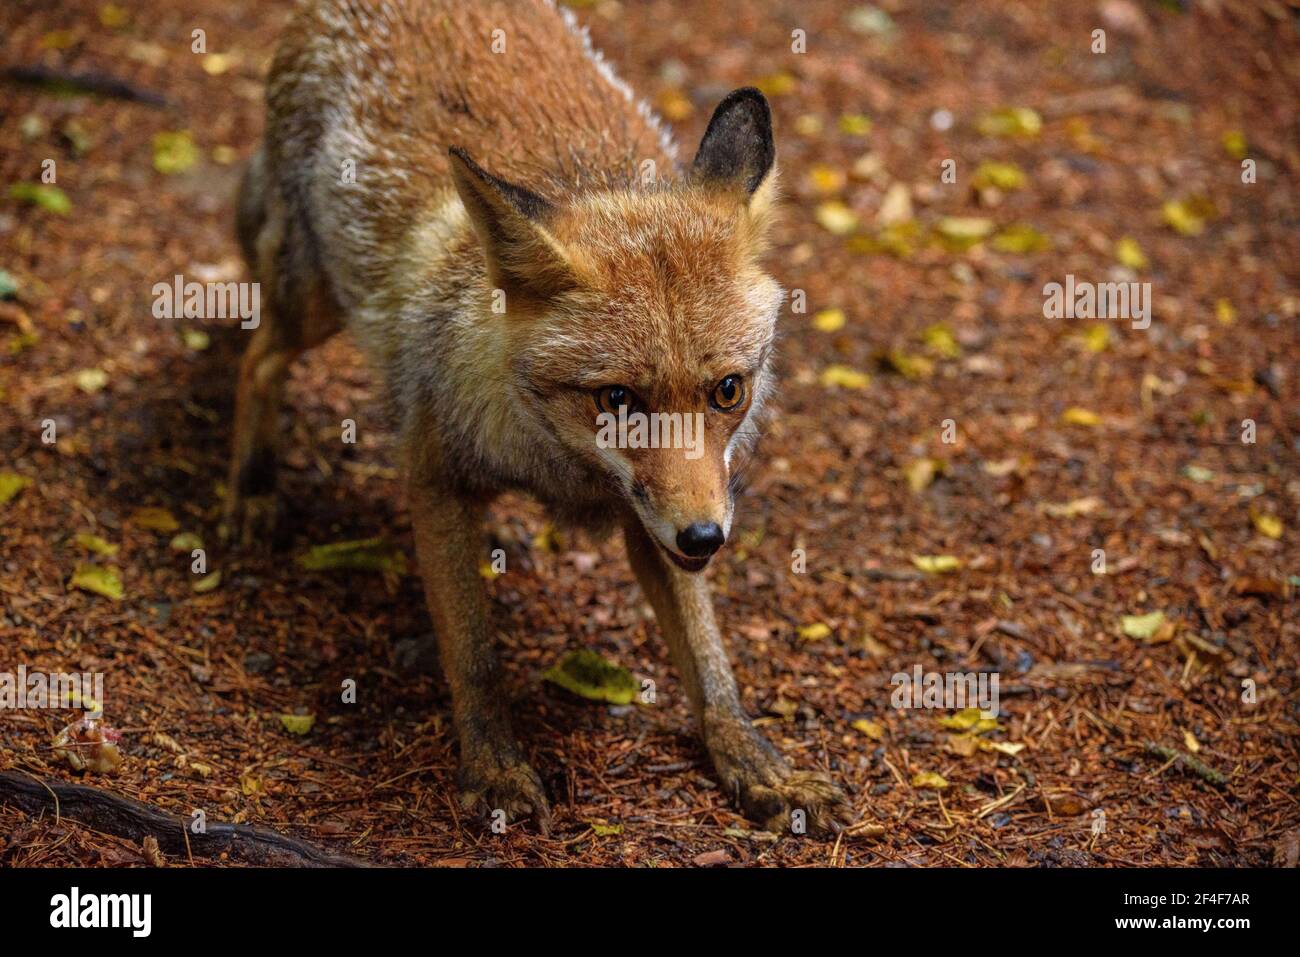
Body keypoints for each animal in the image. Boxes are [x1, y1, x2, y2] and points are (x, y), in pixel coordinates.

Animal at [225, 0, 851, 835]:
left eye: (727, 390)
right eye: (617, 399)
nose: (705, 538)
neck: (554, 461)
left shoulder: (653, 522)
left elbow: (710, 663)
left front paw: (753, 762)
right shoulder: (436, 478)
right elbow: (474, 655)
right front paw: (492, 768)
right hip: (317, 300)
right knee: (257, 356)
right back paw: (251, 489)